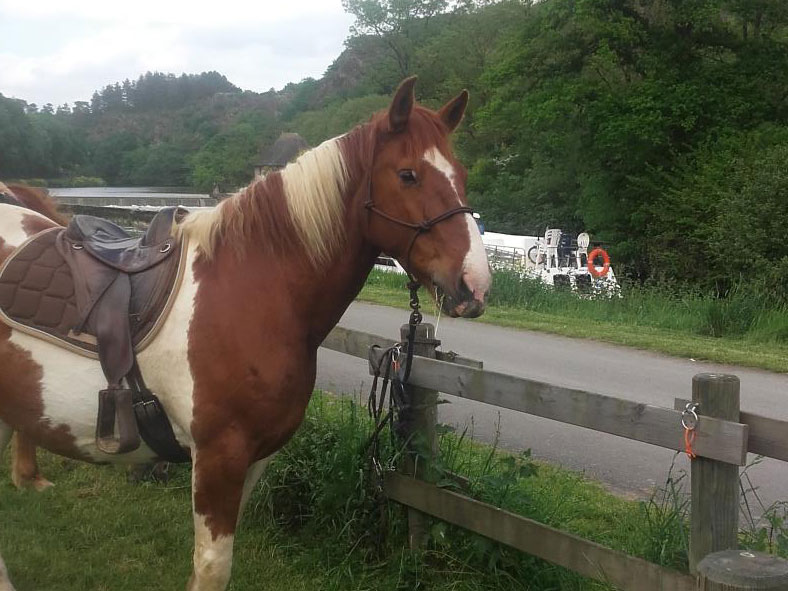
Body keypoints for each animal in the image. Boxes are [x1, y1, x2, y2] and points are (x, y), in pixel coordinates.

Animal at [0, 76, 490, 588]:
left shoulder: (254, 459)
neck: (249, 289)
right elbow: (212, 569)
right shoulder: (218, 459)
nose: (475, 285)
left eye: (460, 173)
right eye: (408, 175)